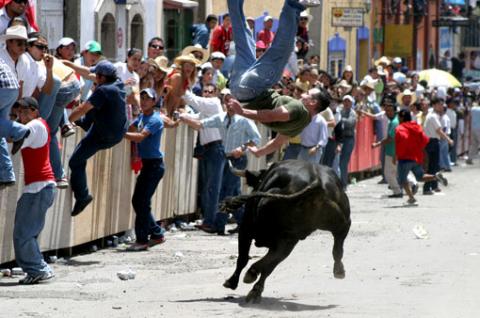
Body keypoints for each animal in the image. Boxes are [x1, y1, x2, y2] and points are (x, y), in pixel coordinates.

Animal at [219, 160, 350, 302]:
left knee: (260, 260)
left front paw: (232, 282)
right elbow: (270, 264)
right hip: (337, 225)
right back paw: (339, 270)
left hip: (261, 229)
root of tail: (316, 182)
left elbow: (243, 258)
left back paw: (251, 274)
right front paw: (255, 289)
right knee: (338, 246)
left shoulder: (245, 229)